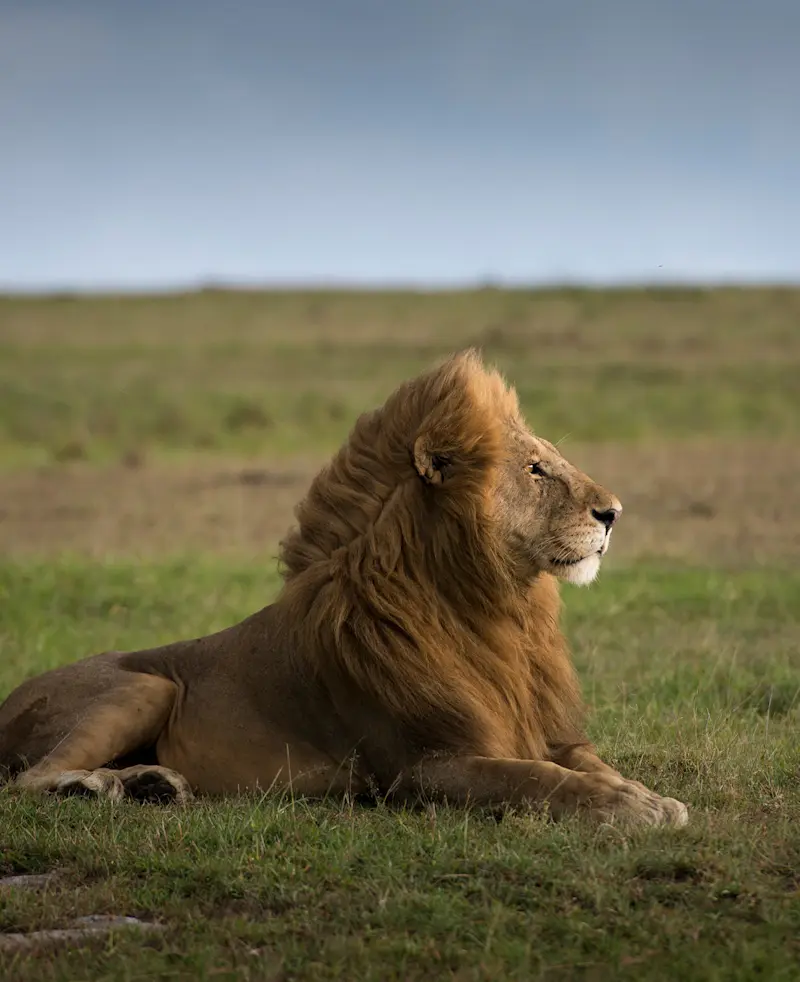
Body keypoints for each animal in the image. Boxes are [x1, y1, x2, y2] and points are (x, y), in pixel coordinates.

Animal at [0, 350, 687, 826]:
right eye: (536, 469)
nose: (614, 513)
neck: (494, 609)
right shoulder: (419, 769)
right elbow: (538, 780)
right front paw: (631, 808)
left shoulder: (544, 730)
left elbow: (585, 763)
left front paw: (645, 794)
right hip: (148, 685)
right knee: (26, 782)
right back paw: (107, 785)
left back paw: (152, 783)